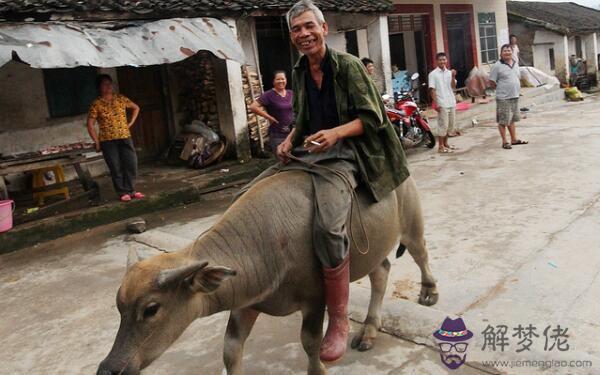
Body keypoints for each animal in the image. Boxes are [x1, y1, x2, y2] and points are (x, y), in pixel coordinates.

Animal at [97, 172, 436, 374]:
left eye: (151, 309)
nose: (109, 369)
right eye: (118, 308)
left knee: (419, 252)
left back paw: (429, 291)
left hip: (411, 223)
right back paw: (369, 329)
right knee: (382, 272)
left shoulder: (314, 300)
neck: (265, 243)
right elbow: (230, 351)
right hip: (371, 251)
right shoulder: (245, 304)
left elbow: (310, 342)